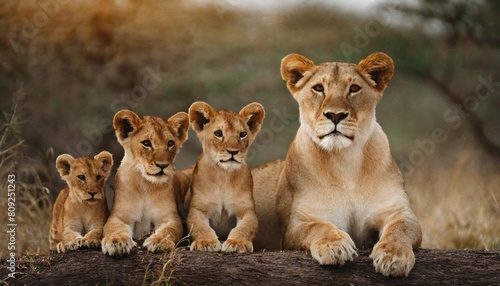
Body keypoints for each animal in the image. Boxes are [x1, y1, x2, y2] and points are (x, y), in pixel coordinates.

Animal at [254, 52, 422, 276]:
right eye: (318, 88)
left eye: (354, 88)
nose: (335, 115)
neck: (345, 161)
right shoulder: (298, 224)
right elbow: (319, 227)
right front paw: (334, 246)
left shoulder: (398, 211)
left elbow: (399, 228)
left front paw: (393, 257)